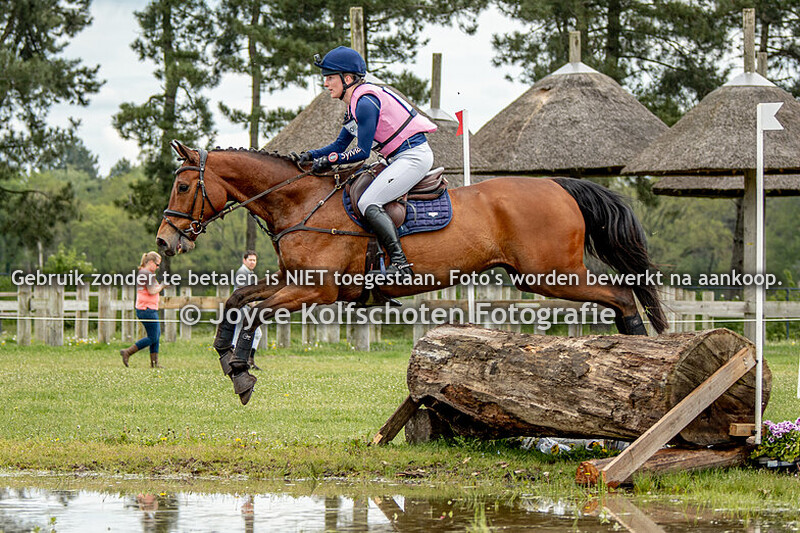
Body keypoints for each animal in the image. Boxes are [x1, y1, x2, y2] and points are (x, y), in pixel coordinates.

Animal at [157, 140, 667, 404]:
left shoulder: (317, 292)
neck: (302, 202)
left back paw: (641, 357)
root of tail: (558, 185)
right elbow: (237, 300)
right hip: (543, 275)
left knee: (622, 295)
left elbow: (256, 312)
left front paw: (241, 372)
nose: (165, 242)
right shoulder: (293, 281)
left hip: (552, 273)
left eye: (182, 186)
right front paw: (224, 354)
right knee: (621, 293)